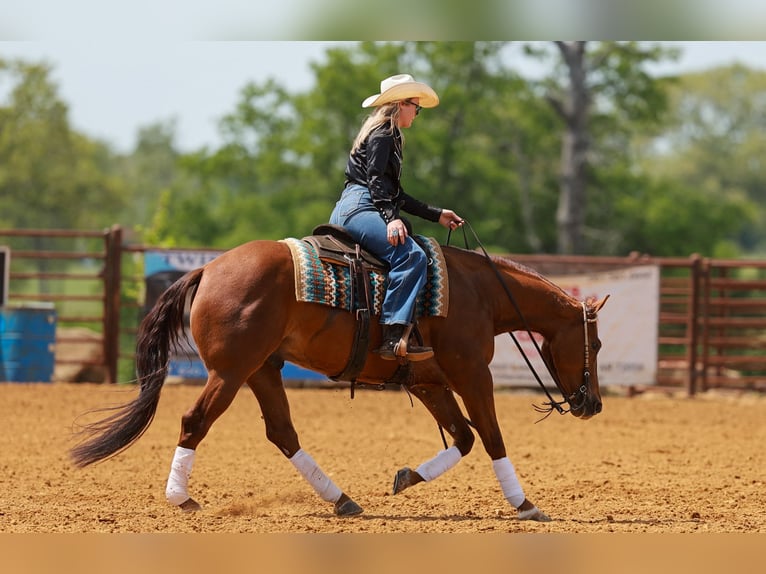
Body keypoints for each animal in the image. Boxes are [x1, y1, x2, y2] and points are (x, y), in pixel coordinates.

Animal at [70, 236, 608, 522]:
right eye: (597, 344)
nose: (593, 405)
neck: (476, 292)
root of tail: (208, 268)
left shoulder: (429, 382)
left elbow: (464, 437)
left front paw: (406, 477)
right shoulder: (472, 374)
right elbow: (492, 436)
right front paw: (525, 504)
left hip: (262, 370)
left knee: (282, 433)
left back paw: (343, 500)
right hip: (230, 371)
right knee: (195, 421)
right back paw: (180, 497)